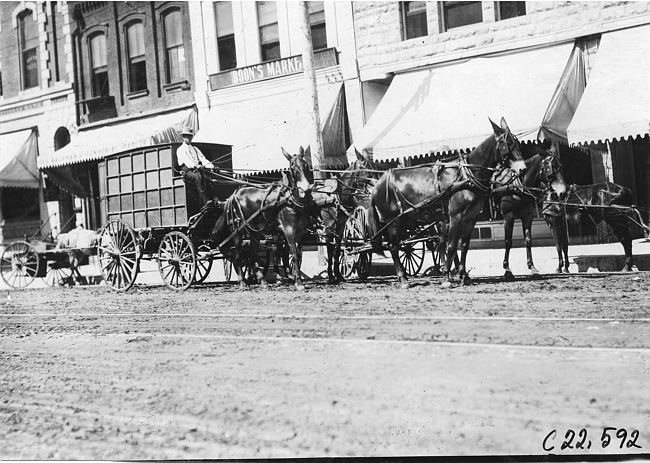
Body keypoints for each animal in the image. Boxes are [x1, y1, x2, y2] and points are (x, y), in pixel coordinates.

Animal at [210, 147, 314, 290]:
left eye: (306, 165)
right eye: (292, 167)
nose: (306, 189)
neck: (289, 198)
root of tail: (233, 195)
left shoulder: (300, 231)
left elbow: (295, 255)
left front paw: (294, 279)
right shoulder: (288, 229)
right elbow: (293, 253)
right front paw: (298, 283)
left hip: (254, 231)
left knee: (252, 254)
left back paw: (263, 281)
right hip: (237, 231)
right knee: (238, 255)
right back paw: (242, 282)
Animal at [318, 150, 382, 284]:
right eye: (364, 167)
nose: (377, 183)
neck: (337, 196)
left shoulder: (340, 227)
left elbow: (337, 250)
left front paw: (338, 275)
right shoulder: (328, 228)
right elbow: (330, 250)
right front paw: (331, 276)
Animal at [364, 118, 528, 288]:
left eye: (517, 142)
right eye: (507, 144)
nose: (523, 169)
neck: (466, 176)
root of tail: (378, 183)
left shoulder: (471, 218)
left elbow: (464, 246)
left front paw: (464, 276)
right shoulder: (455, 216)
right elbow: (451, 246)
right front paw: (446, 278)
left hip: (403, 220)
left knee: (403, 245)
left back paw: (405, 276)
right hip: (392, 220)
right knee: (394, 247)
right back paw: (402, 279)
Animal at [488, 147, 564, 280]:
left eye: (561, 166)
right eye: (552, 167)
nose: (562, 193)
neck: (519, 187)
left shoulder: (527, 216)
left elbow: (528, 240)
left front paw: (532, 268)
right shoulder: (508, 216)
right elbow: (508, 241)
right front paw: (507, 269)